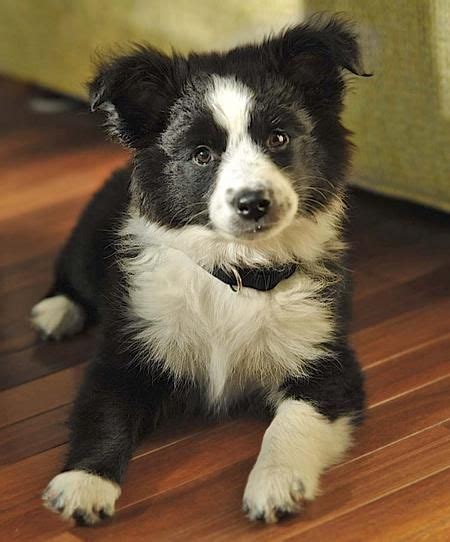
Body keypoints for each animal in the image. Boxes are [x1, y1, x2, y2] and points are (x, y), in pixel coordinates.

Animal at [32, 15, 370, 528]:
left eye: (278, 138)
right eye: (202, 154)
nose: (253, 203)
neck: (237, 273)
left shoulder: (327, 360)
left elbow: (291, 424)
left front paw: (273, 486)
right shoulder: (128, 347)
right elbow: (102, 414)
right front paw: (83, 485)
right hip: (89, 234)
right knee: (70, 273)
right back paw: (56, 312)